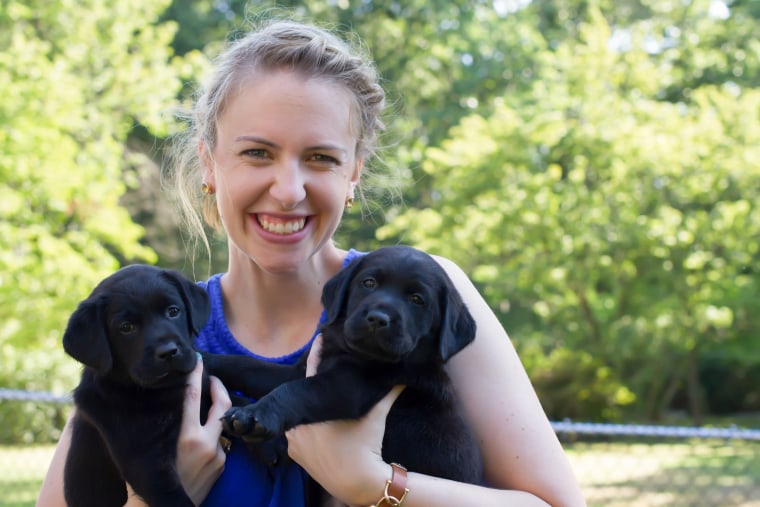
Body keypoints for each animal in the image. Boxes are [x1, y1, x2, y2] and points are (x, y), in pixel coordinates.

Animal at [61, 266, 302, 507]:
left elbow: (237, 372)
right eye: (126, 327)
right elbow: (176, 499)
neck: (160, 389)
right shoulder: (145, 462)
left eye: (173, 311)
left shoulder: (200, 372)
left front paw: (266, 434)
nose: (168, 352)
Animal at [224, 246, 480, 500]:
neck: (351, 349)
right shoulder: (299, 369)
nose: (378, 319)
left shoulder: (347, 388)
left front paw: (254, 415)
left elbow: (296, 391)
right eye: (369, 283)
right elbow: (247, 366)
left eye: (417, 299)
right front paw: (214, 363)